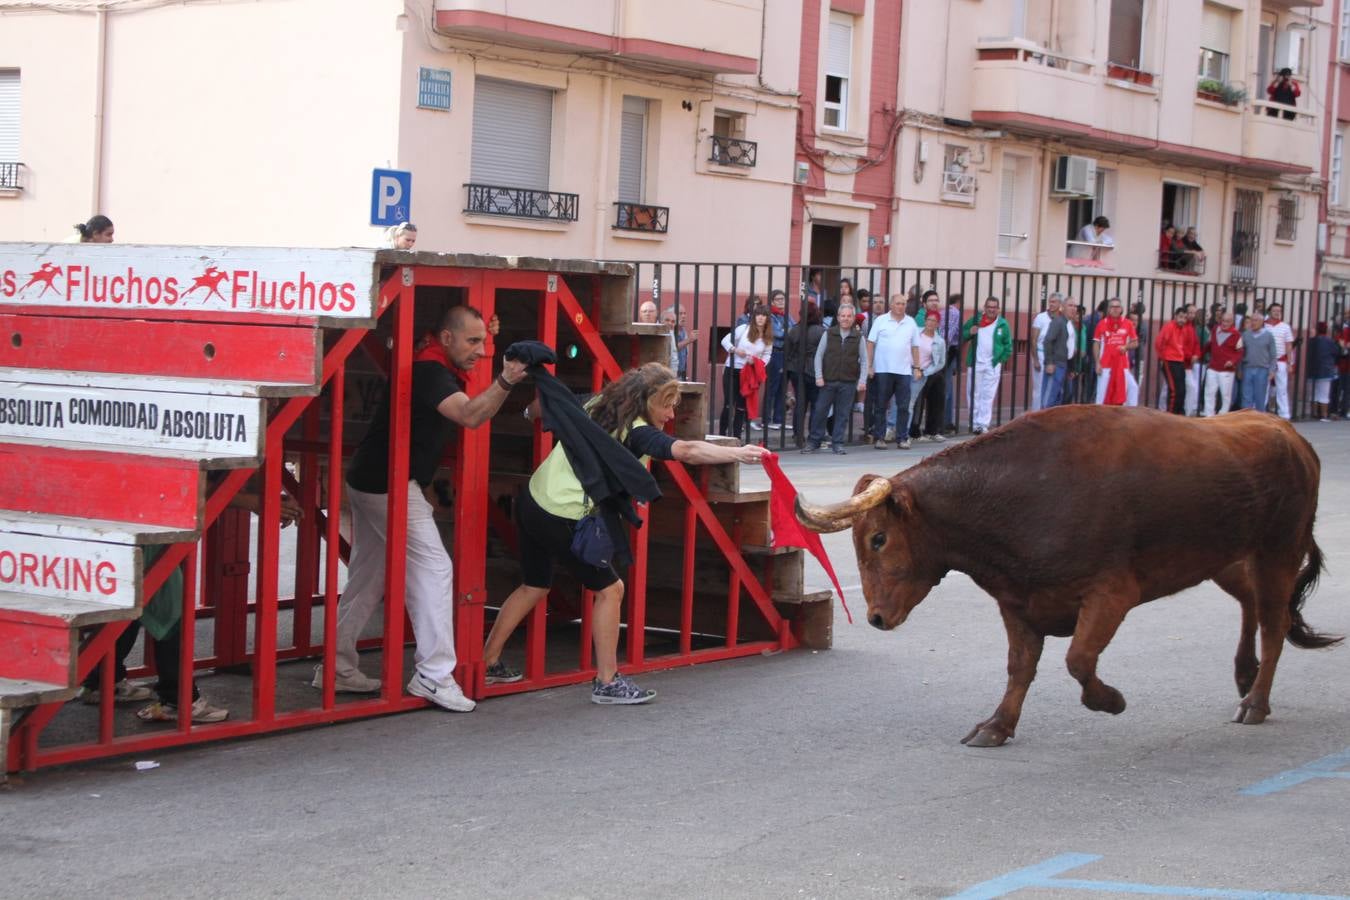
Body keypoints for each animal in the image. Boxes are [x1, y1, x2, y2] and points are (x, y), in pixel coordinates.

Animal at [793, 407, 1333, 744]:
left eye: (878, 538)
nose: (877, 617)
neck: (1017, 492)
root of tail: (1292, 436)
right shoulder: (1018, 602)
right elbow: (1020, 667)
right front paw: (997, 726)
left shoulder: (1110, 594)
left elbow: (1077, 659)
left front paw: (1110, 701)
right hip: (1228, 559)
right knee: (1252, 606)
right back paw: (1244, 675)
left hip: (1278, 551)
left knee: (1275, 622)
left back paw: (1255, 701)